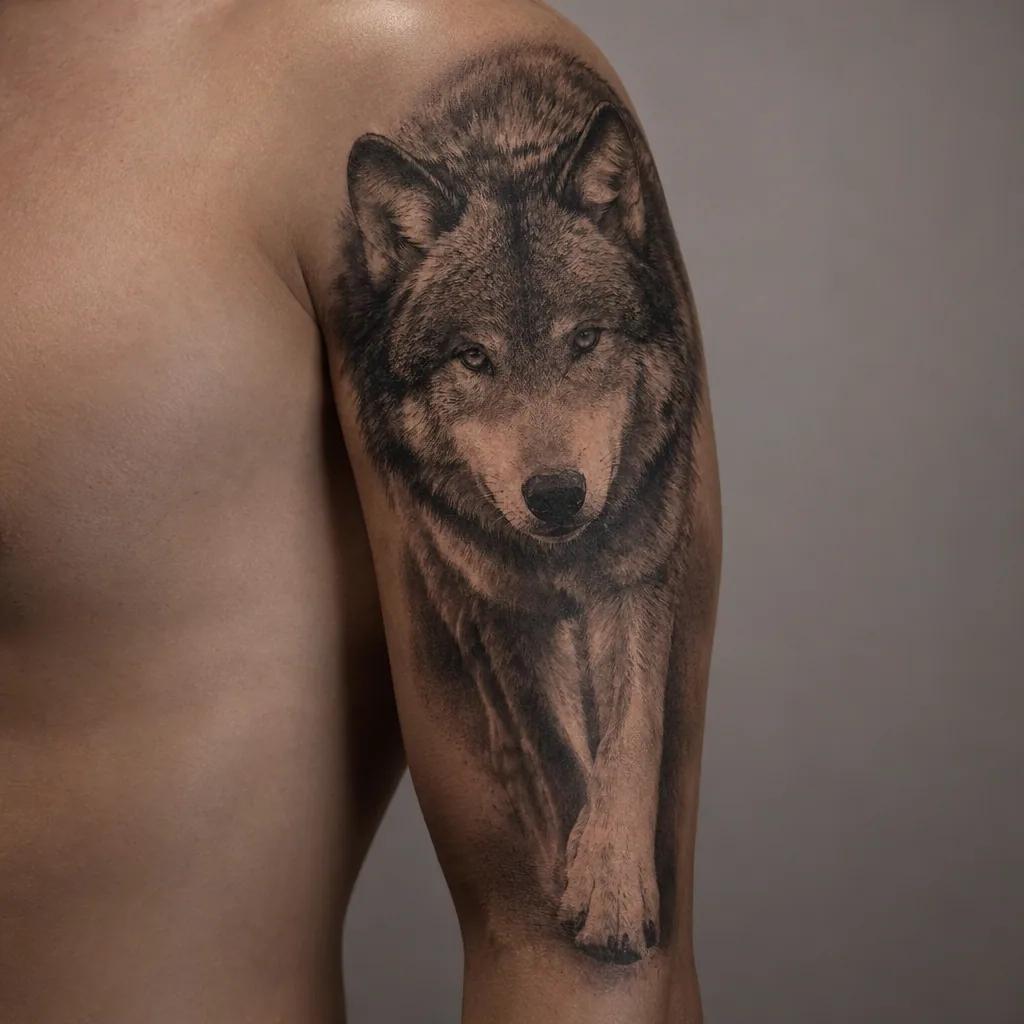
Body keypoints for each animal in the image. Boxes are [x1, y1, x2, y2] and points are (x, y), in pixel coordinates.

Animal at [335, 45, 704, 964]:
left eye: (586, 341)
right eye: (474, 358)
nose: (558, 496)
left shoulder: (639, 577)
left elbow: (629, 739)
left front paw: (614, 885)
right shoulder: (505, 609)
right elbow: (557, 747)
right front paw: (576, 875)